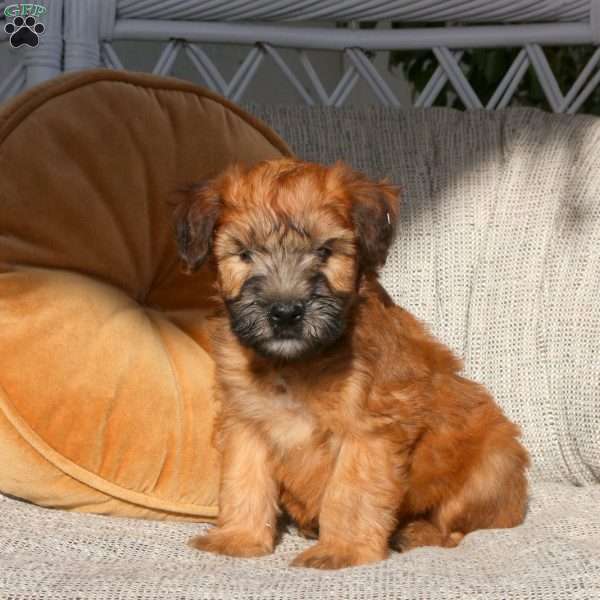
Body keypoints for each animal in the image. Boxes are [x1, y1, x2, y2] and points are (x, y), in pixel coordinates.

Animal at [175, 159, 528, 572]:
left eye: (325, 251)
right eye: (245, 254)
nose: (285, 313)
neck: (297, 363)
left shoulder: (367, 431)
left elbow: (350, 495)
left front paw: (341, 551)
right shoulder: (247, 423)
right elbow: (243, 482)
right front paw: (238, 539)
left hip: (493, 464)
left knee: (456, 527)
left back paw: (416, 532)